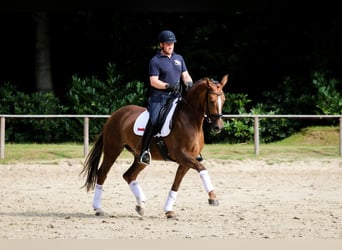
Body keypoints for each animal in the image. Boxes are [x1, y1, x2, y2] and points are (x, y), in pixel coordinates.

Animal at [81, 74, 228, 219]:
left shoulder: (187, 160)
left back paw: (140, 205)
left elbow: (177, 184)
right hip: (113, 150)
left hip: (139, 157)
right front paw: (213, 197)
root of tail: (114, 115)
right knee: (102, 174)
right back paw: (98, 208)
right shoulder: (181, 156)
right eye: (211, 100)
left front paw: (169, 211)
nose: (218, 127)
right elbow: (202, 168)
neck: (189, 119)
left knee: (129, 175)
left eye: (224, 99)